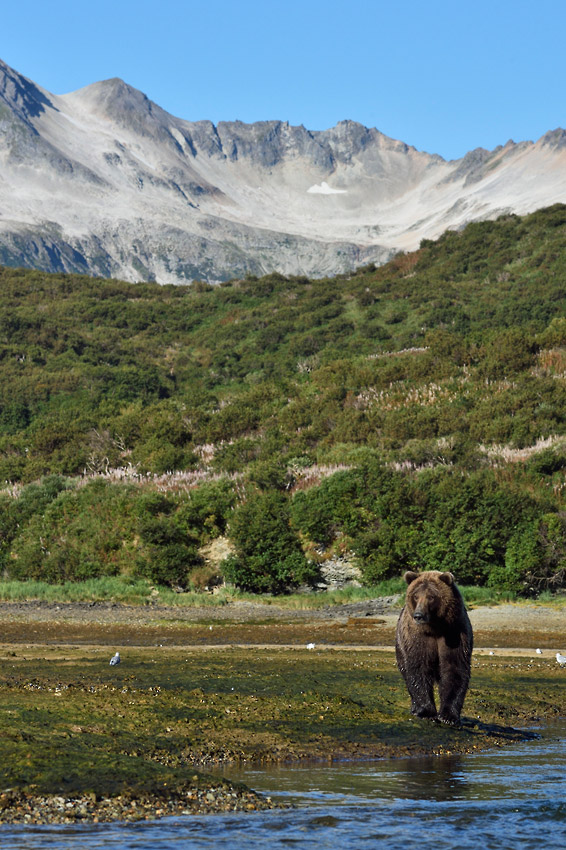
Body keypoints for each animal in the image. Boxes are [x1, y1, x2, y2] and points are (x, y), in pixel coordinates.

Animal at [400, 568, 474, 724]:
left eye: (431, 596)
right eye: (416, 596)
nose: (418, 615)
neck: (435, 627)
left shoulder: (454, 633)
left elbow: (455, 668)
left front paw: (448, 716)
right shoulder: (418, 637)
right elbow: (418, 667)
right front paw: (426, 711)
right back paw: (414, 708)